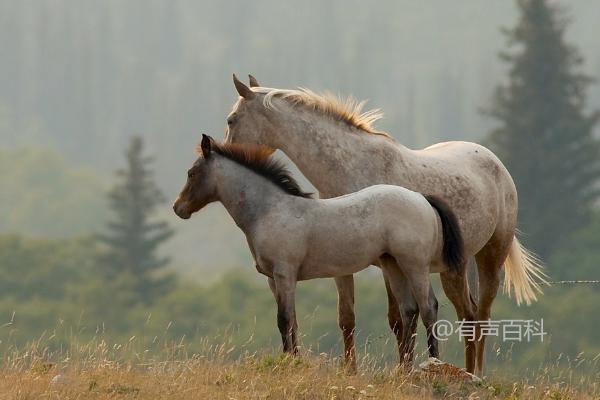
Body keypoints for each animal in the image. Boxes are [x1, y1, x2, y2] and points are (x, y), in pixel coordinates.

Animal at [173, 135, 464, 366]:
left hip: (415, 265)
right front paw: (293, 360)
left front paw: (290, 364)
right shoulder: (273, 280)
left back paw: (432, 364)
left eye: (191, 173)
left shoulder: (285, 274)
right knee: (408, 311)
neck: (270, 210)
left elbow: (284, 319)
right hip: (392, 264)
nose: (178, 208)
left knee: (428, 307)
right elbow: (292, 322)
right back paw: (403, 371)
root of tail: (421, 198)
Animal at [223, 74, 548, 376]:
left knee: (479, 316)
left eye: (231, 119)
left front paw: (405, 369)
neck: (352, 166)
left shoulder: (388, 264)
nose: (224, 152)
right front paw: (353, 371)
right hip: (454, 268)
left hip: (490, 258)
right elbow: (349, 318)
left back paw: (474, 373)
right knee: (467, 313)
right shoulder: (344, 265)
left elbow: (401, 318)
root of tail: (496, 163)